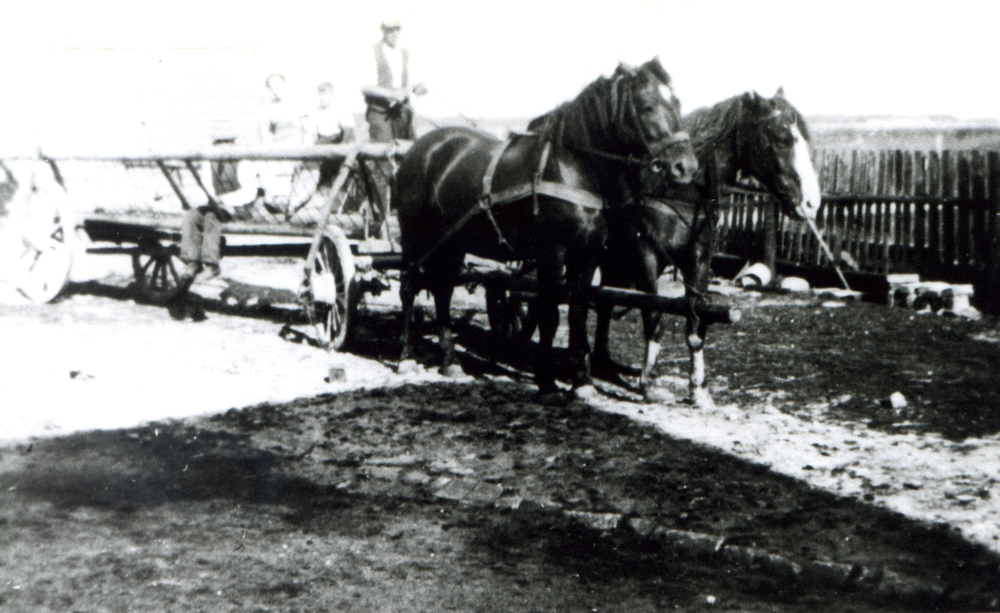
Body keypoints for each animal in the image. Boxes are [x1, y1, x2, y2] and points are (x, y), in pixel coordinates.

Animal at [396, 57, 696, 402]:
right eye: (647, 106)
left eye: (677, 102)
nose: (686, 167)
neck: (570, 169)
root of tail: (420, 149)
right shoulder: (551, 254)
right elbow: (550, 315)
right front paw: (548, 384)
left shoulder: (586, 256)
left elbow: (578, 314)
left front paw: (582, 382)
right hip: (415, 239)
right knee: (409, 286)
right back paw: (405, 357)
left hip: (452, 244)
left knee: (443, 290)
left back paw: (450, 362)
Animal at [592, 87, 820, 406]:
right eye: (780, 137)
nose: (812, 203)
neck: (681, 190)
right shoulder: (646, 255)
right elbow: (653, 316)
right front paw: (649, 384)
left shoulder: (698, 258)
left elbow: (694, 323)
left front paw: (698, 389)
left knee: (604, 301)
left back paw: (603, 363)